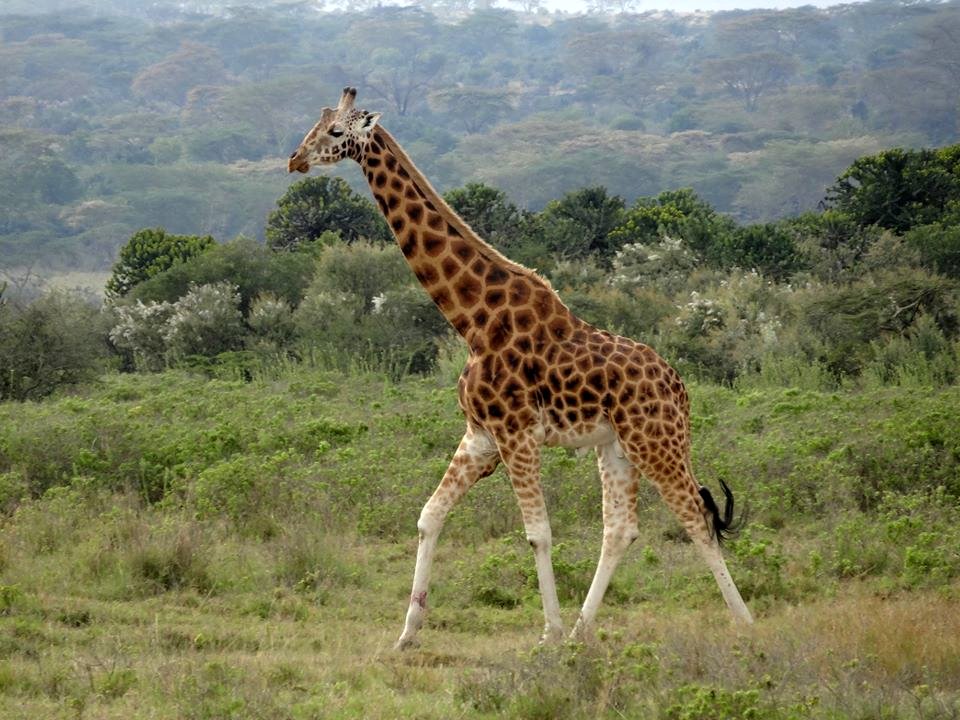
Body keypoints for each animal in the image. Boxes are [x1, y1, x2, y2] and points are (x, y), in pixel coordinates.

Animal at [288, 87, 754, 649]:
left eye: (336, 132)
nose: (295, 160)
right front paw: (407, 634)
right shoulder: (480, 436)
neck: (473, 321)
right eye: (315, 125)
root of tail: (681, 388)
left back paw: (745, 624)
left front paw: (546, 633)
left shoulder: (517, 434)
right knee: (620, 528)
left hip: (655, 440)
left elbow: (538, 534)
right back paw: (581, 631)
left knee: (695, 516)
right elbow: (429, 516)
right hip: (616, 447)